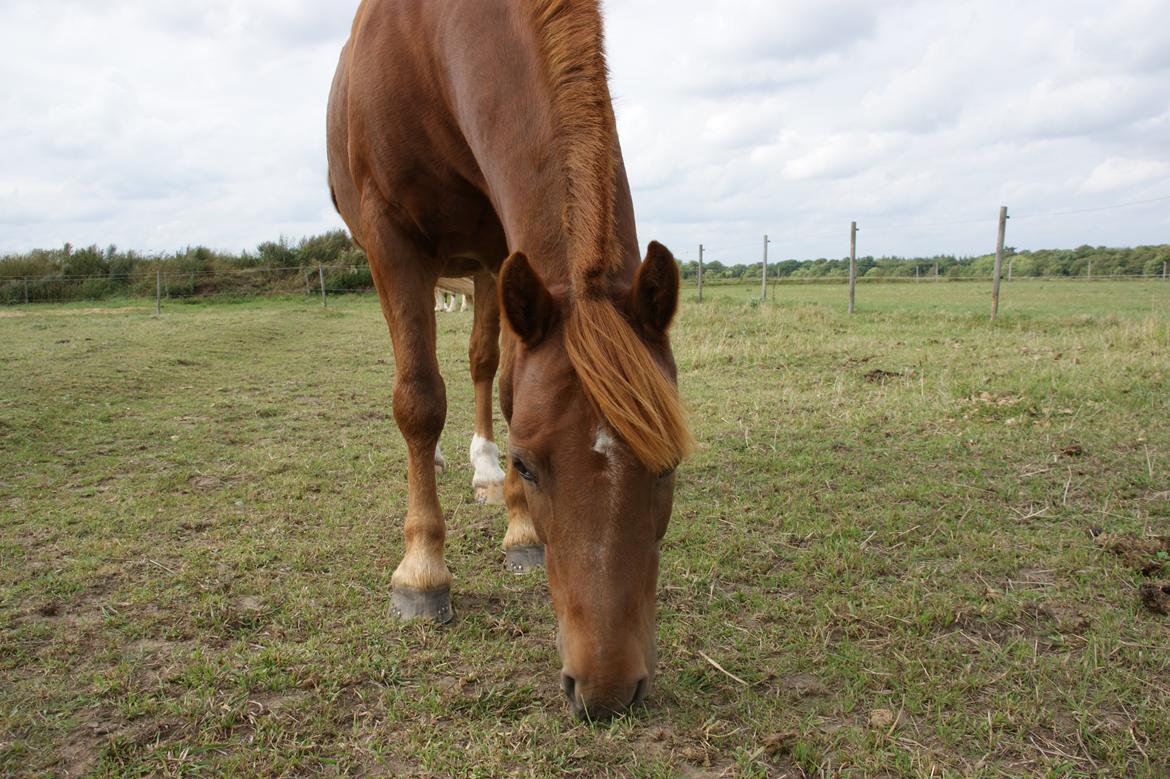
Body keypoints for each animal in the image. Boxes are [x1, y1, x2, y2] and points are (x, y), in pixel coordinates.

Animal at [327, 0, 692, 715]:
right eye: (528, 462)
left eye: (668, 467)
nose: (606, 688)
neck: (429, 44)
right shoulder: (390, 237)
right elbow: (418, 398)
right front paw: (422, 572)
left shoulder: (502, 248)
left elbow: (503, 387)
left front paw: (519, 532)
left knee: (480, 364)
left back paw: (478, 469)